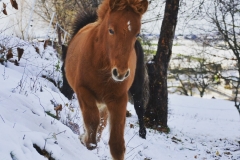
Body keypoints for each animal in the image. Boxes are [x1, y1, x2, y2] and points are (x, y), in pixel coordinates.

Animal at [62, 0, 148, 159]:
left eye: (137, 33)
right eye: (111, 30)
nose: (121, 73)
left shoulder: (118, 99)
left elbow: (116, 144)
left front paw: (85, 139)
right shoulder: (83, 91)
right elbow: (92, 122)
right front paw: (85, 139)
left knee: (138, 108)